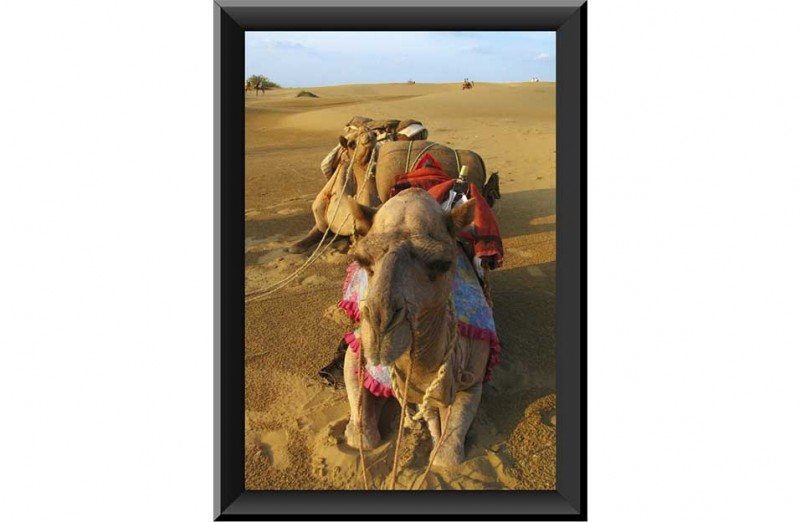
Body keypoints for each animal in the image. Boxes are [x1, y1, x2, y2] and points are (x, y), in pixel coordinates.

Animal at [341, 189, 491, 469]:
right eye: (361, 259)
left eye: (442, 264)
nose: (381, 326)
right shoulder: (357, 350)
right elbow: (363, 439)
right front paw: (355, 431)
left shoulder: (474, 373)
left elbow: (446, 457)